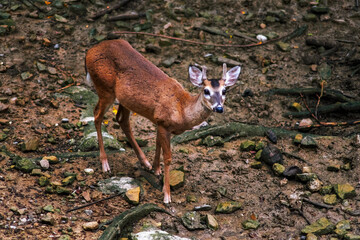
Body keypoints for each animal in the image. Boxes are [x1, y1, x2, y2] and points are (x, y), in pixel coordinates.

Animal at [85, 39, 240, 204]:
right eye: (206, 91)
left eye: (224, 91)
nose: (219, 108)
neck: (181, 110)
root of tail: (90, 51)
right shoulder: (164, 123)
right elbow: (168, 158)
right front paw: (167, 195)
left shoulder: (159, 121)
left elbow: (157, 142)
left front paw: (155, 168)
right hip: (104, 88)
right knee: (97, 115)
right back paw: (105, 164)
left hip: (124, 99)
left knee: (121, 119)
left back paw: (144, 162)